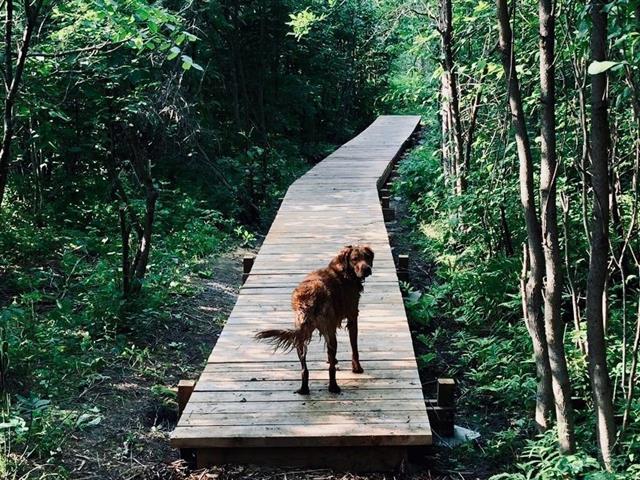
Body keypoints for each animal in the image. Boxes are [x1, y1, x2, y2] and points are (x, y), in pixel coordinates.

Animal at [255, 245, 374, 394]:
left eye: (367, 257)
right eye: (355, 259)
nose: (367, 269)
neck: (344, 271)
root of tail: (308, 298)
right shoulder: (352, 316)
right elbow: (354, 348)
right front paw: (357, 368)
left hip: (300, 335)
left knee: (304, 368)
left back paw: (304, 388)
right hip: (327, 333)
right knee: (331, 369)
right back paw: (333, 387)